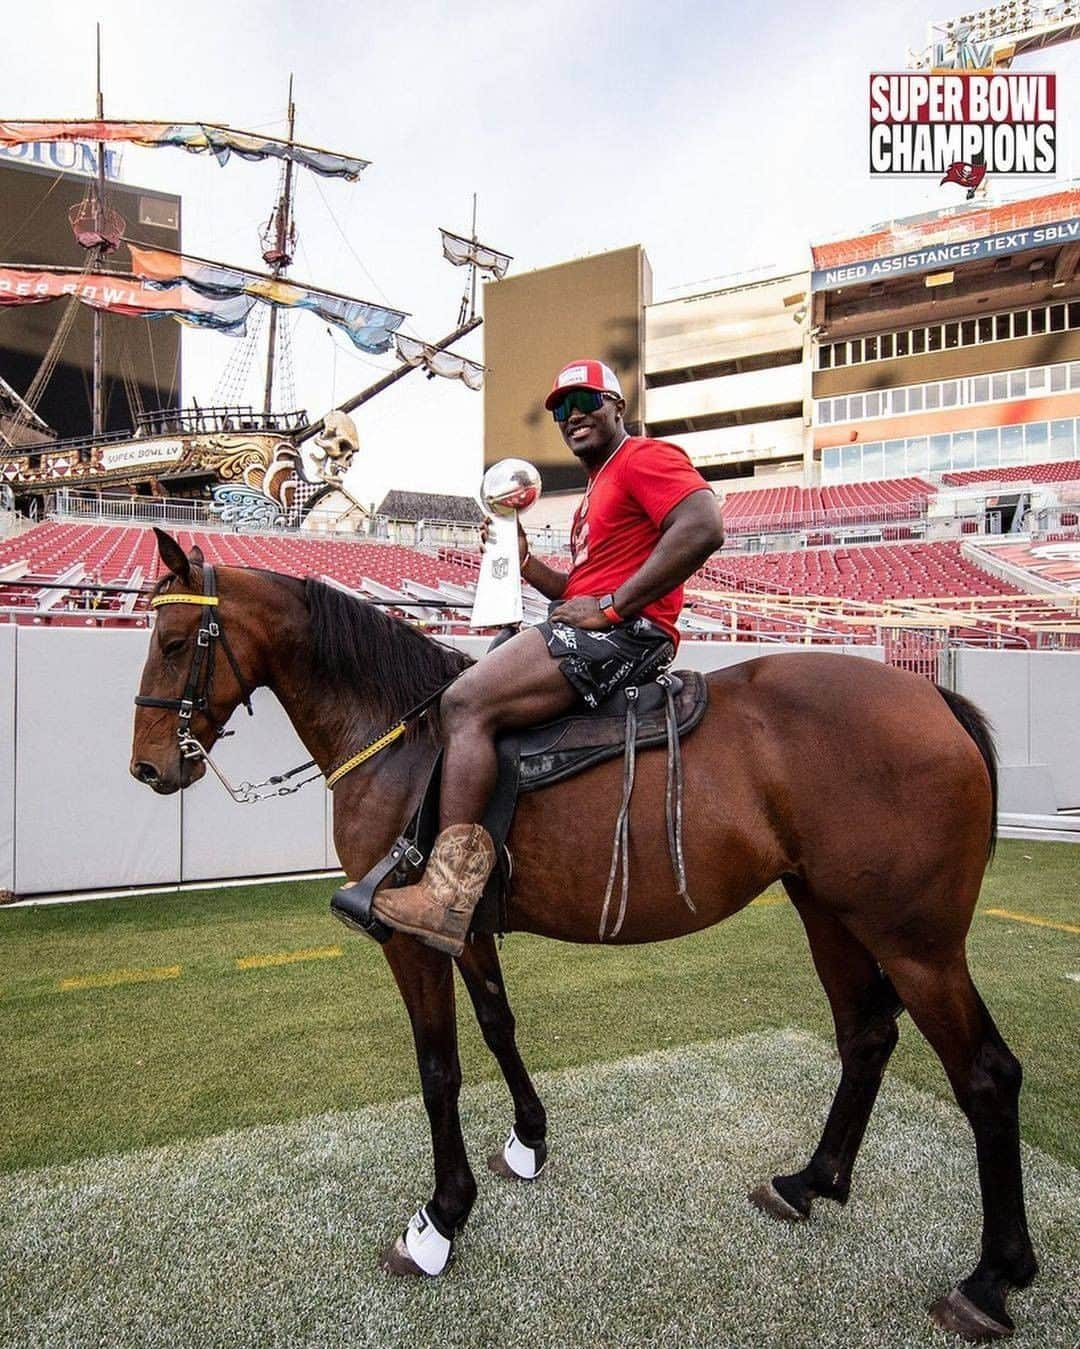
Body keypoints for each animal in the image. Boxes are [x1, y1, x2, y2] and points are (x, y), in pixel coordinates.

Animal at [130, 531, 1030, 1343]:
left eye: (174, 644)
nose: (147, 769)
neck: (403, 742)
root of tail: (933, 698)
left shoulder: (407, 940)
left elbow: (439, 1071)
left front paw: (440, 1218)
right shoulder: (459, 924)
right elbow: (498, 1025)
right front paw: (528, 1139)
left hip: (916, 942)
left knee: (987, 1074)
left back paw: (992, 1276)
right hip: (829, 912)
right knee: (866, 1035)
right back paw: (811, 1180)